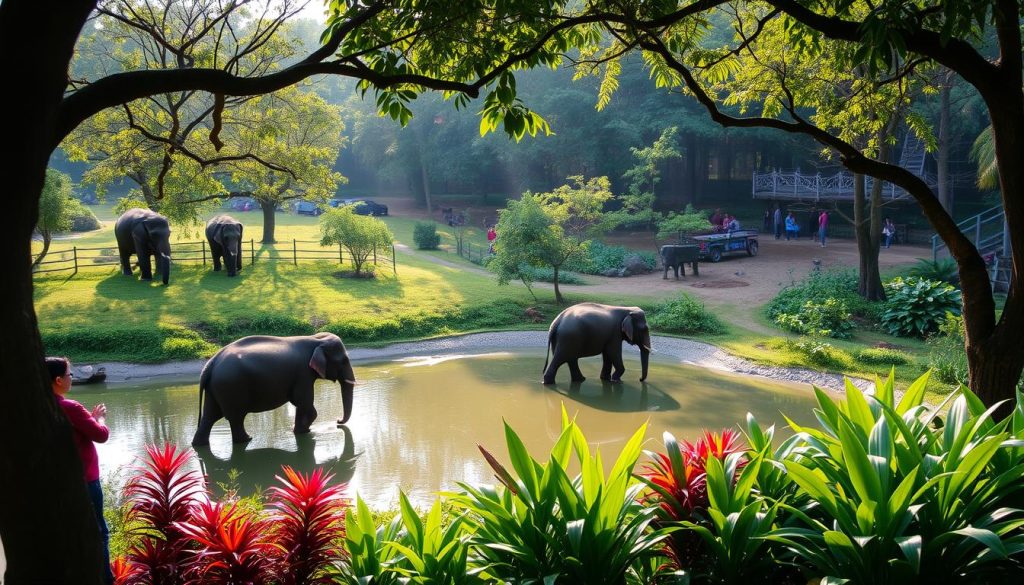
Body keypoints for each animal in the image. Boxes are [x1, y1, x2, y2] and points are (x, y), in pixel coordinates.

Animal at [191, 332, 356, 447]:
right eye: (343, 360)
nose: (337, 421)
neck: (315, 339)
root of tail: (210, 364)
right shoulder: (303, 374)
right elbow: (304, 404)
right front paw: (303, 431)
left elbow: (301, 404)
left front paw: (300, 431)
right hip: (230, 387)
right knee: (235, 418)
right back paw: (247, 439)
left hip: (215, 389)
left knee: (209, 417)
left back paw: (199, 445)